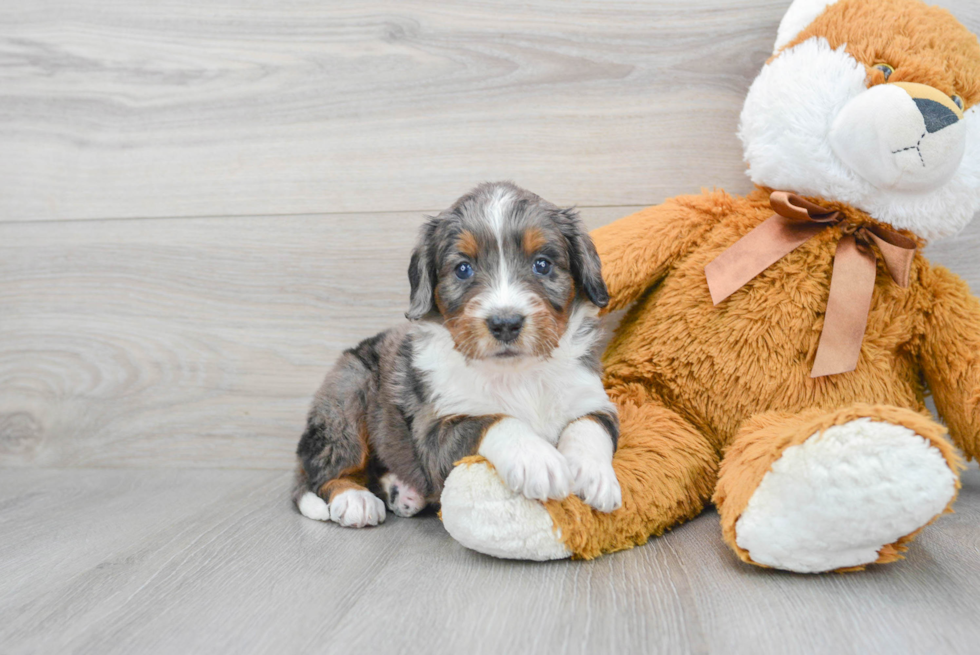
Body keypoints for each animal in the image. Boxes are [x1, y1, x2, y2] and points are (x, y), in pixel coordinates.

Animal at [294, 182, 624, 532]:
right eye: (463, 269)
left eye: (543, 264)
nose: (505, 323)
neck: (518, 374)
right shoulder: (434, 429)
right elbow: (493, 419)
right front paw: (537, 459)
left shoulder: (592, 397)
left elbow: (589, 426)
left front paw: (595, 476)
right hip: (347, 396)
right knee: (324, 470)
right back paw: (354, 498)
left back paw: (403, 491)